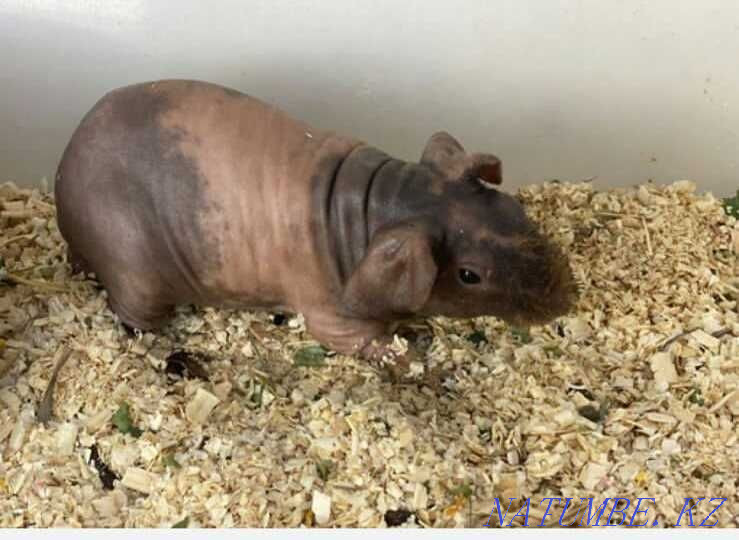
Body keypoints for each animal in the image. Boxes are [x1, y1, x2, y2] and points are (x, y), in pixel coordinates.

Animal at [55, 80, 577, 371]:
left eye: (512, 207)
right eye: (469, 275)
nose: (568, 295)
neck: (385, 202)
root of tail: (62, 187)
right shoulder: (327, 311)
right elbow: (351, 338)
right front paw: (414, 359)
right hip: (135, 272)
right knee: (134, 319)